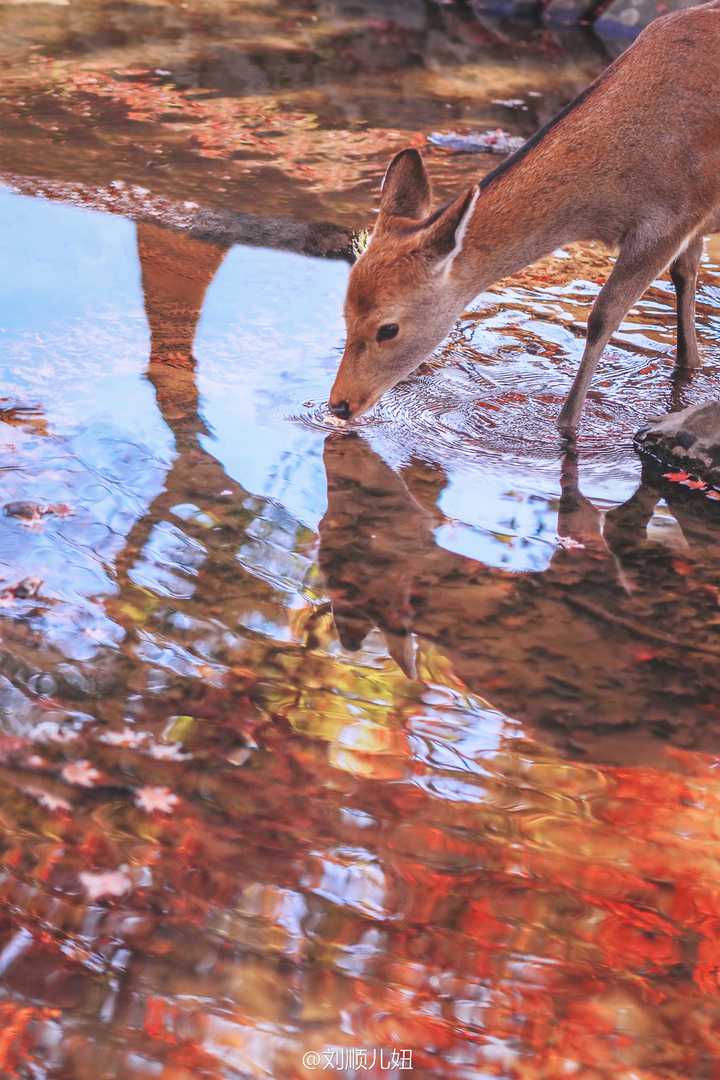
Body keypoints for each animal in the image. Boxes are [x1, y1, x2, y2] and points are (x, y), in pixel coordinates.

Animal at [330, 5, 720, 434]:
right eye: (344, 311)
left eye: (388, 328)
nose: (339, 404)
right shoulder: (691, 225)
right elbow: (685, 280)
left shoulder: (669, 219)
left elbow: (603, 316)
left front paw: (566, 424)